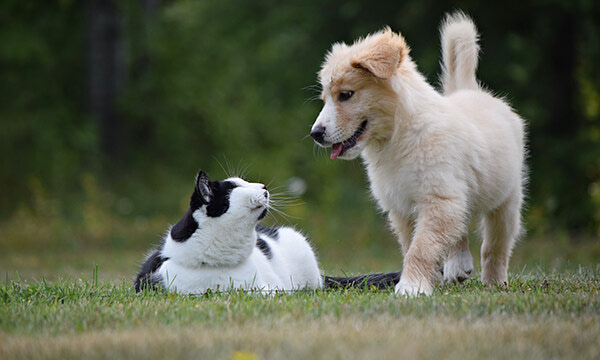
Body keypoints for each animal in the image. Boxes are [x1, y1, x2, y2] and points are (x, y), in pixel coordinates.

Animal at [310, 12, 524, 296]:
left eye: (346, 95)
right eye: (326, 99)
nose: (316, 133)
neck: (398, 137)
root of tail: (470, 91)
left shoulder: (438, 199)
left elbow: (421, 248)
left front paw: (411, 287)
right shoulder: (406, 206)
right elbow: (412, 245)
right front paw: (425, 280)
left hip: (506, 199)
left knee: (495, 245)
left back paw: (494, 281)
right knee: (460, 228)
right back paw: (458, 265)